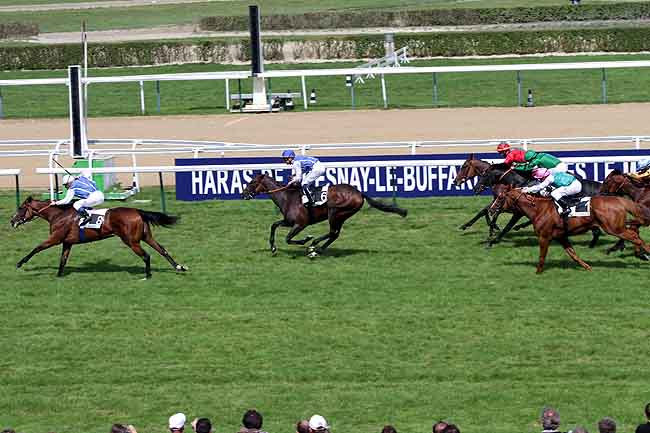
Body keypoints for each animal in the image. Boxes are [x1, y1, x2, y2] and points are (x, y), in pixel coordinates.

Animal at [10, 197, 187, 278]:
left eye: (21, 208)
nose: (12, 221)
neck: (58, 215)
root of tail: (138, 211)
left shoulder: (55, 239)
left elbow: (37, 248)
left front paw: (20, 263)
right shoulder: (67, 242)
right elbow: (63, 259)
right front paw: (59, 275)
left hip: (131, 241)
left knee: (146, 255)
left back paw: (148, 275)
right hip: (145, 236)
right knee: (162, 250)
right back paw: (179, 267)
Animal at [242, 173, 404, 255]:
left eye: (252, 182)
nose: (243, 194)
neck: (287, 197)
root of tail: (359, 193)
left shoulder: (300, 223)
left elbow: (288, 239)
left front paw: (306, 239)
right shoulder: (288, 221)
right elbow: (274, 225)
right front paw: (273, 248)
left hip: (335, 212)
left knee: (333, 232)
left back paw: (314, 246)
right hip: (342, 216)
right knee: (335, 234)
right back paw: (318, 249)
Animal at [488, 187, 648, 272]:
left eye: (500, 198)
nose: (491, 209)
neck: (539, 209)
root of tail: (619, 200)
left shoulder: (544, 236)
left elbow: (542, 256)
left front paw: (538, 272)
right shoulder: (561, 236)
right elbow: (573, 254)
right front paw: (587, 267)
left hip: (614, 228)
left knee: (635, 237)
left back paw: (645, 252)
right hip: (616, 227)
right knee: (635, 233)